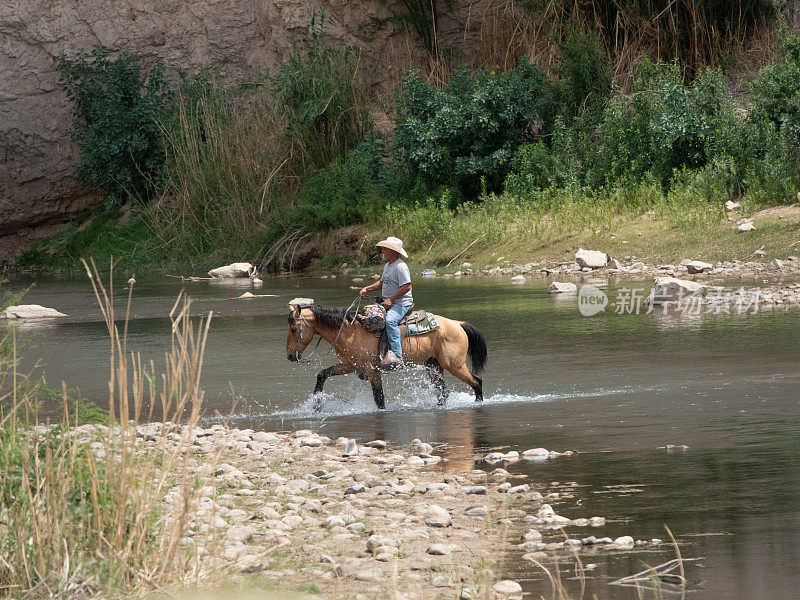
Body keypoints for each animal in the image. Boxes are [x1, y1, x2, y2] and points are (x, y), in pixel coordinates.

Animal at [288, 304, 488, 408]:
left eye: (294, 329)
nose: (290, 356)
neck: (351, 332)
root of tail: (457, 323)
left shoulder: (372, 371)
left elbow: (379, 398)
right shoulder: (350, 366)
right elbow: (322, 374)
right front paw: (316, 404)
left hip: (454, 365)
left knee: (476, 382)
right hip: (434, 366)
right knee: (443, 392)